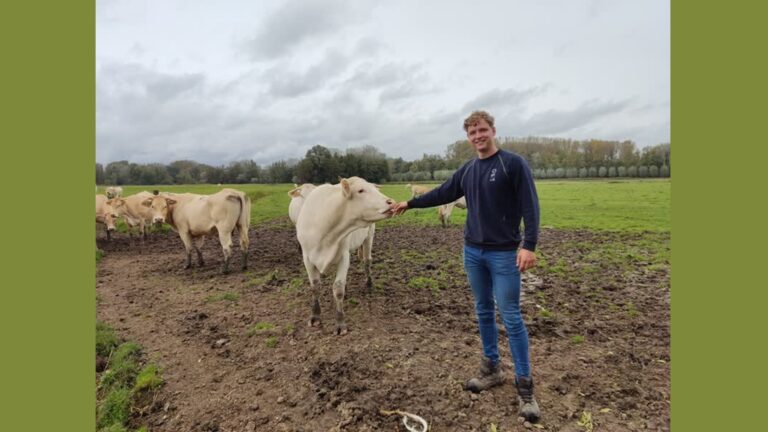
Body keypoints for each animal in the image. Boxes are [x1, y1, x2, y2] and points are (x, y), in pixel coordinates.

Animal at [296, 176, 392, 334]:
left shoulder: (343, 256)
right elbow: (315, 286)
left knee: (367, 261)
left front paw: (340, 323)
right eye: (361, 190)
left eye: (375, 189)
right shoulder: (307, 258)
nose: (391, 202)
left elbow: (338, 289)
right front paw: (315, 316)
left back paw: (369, 283)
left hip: (369, 236)